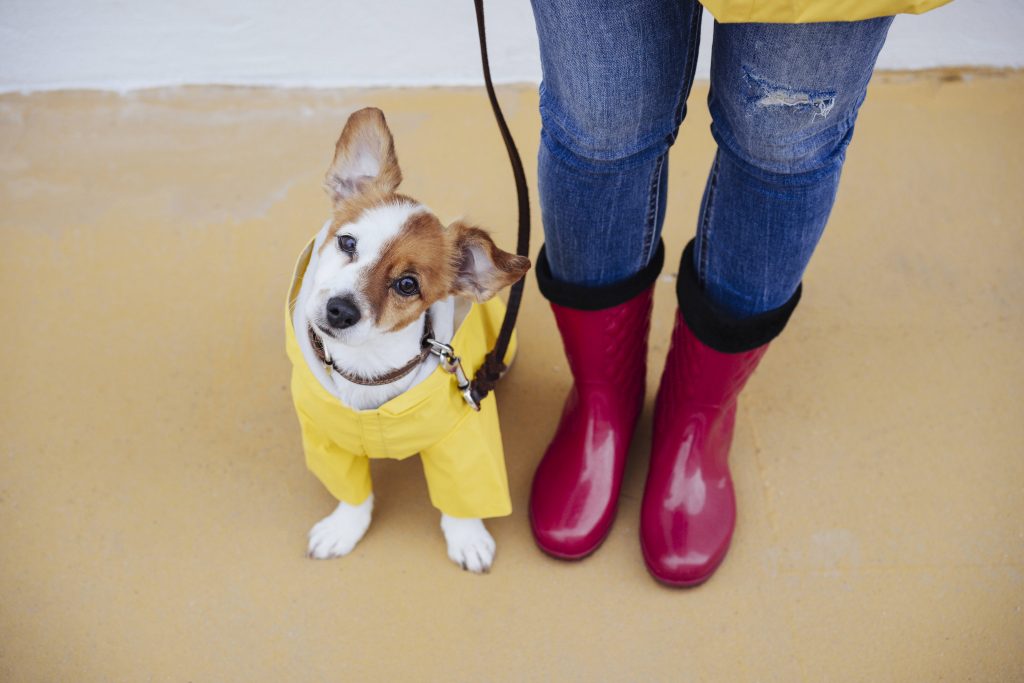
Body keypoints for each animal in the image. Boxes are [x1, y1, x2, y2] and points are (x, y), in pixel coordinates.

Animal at [286, 109, 532, 573]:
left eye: (407, 284)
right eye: (347, 242)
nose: (341, 310)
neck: (366, 370)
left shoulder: (462, 438)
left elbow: (463, 497)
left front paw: (468, 538)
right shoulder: (327, 436)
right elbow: (352, 493)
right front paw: (344, 528)